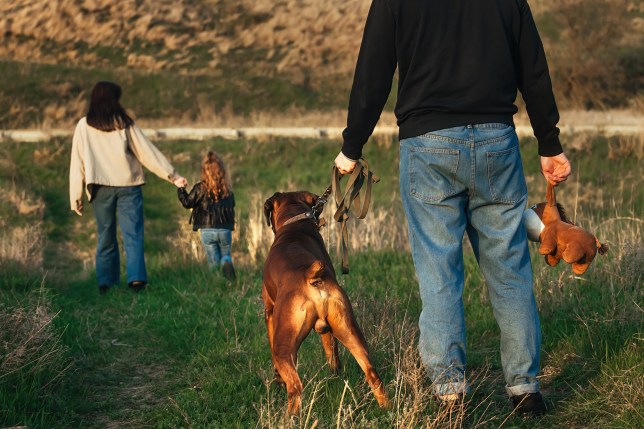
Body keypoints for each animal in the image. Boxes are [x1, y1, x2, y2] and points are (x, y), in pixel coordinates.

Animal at [262, 190, 388, 412]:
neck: (294, 227)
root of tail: (310, 276)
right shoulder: (327, 331)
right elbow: (332, 354)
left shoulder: (269, 312)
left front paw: (277, 380)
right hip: (349, 330)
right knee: (372, 373)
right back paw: (386, 409)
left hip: (283, 346)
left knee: (295, 386)